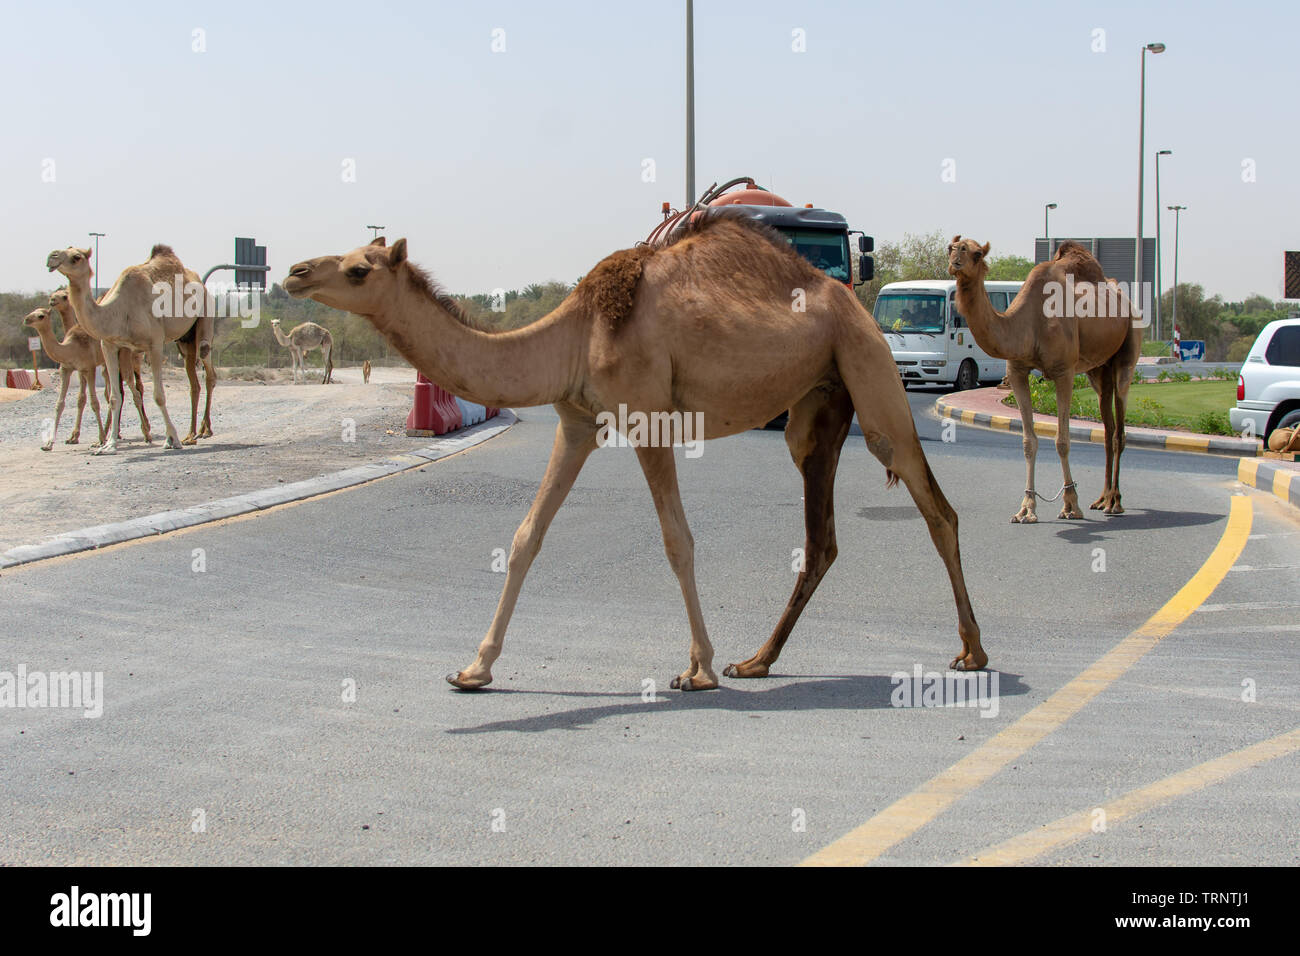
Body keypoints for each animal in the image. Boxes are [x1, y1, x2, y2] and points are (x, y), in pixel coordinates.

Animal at [20, 310, 105, 452]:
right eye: (32, 312)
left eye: (41, 316)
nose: (26, 319)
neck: (71, 348)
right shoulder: (66, 369)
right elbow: (60, 404)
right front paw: (49, 444)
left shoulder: (89, 368)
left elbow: (94, 403)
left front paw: (101, 440)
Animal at [48, 287, 151, 444]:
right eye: (53, 294)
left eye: (64, 296)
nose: (52, 300)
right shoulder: (86, 367)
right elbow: (82, 398)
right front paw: (74, 436)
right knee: (120, 390)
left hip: (133, 358)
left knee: (138, 386)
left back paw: (144, 429)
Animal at [279, 217, 977, 691]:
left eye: (360, 268)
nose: (295, 272)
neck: (573, 334)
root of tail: (852, 301)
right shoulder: (577, 423)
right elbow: (527, 535)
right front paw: (474, 668)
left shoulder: (648, 420)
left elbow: (677, 540)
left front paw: (696, 670)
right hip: (816, 405)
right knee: (823, 536)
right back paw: (756, 660)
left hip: (867, 366)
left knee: (937, 508)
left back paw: (973, 652)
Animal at [951, 238, 1144, 522]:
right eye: (950, 247)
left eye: (976, 253)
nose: (955, 258)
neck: (1030, 322)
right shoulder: (1017, 371)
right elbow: (1028, 442)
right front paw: (1026, 508)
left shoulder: (1064, 372)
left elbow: (1062, 441)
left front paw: (1070, 505)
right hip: (1098, 369)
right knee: (1108, 425)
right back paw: (1101, 499)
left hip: (1128, 349)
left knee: (1120, 427)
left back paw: (1115, 502)